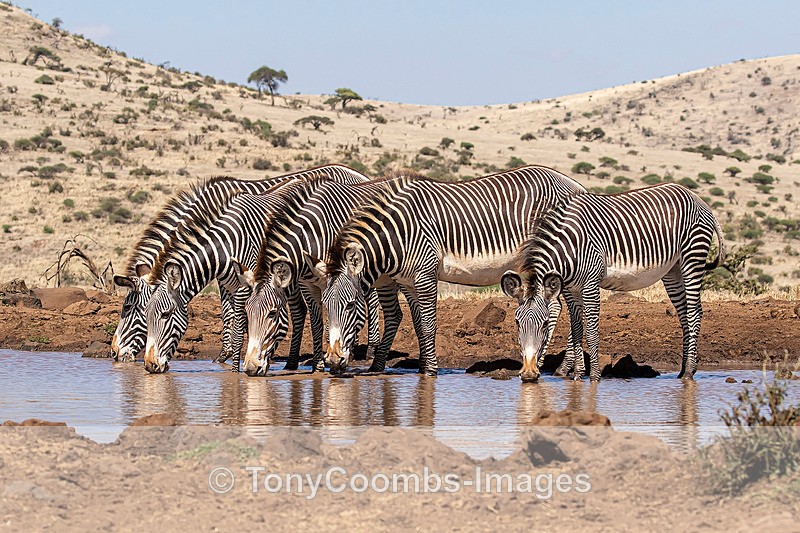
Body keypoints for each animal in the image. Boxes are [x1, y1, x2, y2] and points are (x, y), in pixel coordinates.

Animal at [110, 165, 369, 365]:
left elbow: (237, 314)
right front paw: (227, 354)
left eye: (130, 309)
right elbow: (228, 312)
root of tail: (358, 174)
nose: (114, 353)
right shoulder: (227, 278)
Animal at [231, 176, 399, 376]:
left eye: (272, 313)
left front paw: (336, 360)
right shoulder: (307, 284)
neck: (309, 238)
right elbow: (316, 322)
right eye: (248, 312)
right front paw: (318, 366)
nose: (250, 368)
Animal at [321, 166, 587, 376]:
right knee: (561, 306)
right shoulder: (408, 281)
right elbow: (418, 324)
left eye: (351, 306)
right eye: (325, 306)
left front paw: (430, 371)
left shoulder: (425, 273)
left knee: (564, 308)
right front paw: (422, 367)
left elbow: (429, 324)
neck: (399, 233)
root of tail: (572, 182)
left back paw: (553, 365)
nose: (333, 360)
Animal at [500, 182, 725, 382]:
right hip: (673, 270)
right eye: (517, 322)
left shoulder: (590, 284)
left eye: (546, 323)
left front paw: (594, 377)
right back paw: (684, 370)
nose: (529, 375)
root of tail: (697, 198)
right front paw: (578, 376)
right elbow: (577, 329)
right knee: (684, 314)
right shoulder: (571, 290)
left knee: (694, 313)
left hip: (692, 257)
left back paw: (689, 372)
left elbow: (591, 330)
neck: (569, 247)